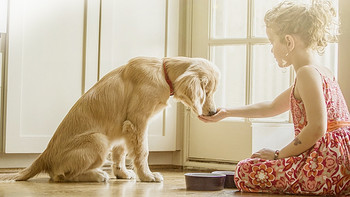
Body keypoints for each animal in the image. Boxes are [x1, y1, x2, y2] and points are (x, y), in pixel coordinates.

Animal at [0, 56, 219, 182]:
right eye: (207, 92)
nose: (213, 112)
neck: (162, 72)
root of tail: (45, 156)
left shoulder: (123, 127)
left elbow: (120, 153)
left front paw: (122, 174)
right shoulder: (138, 122)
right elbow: (142, 152)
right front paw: (147, 176)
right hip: (98, 139)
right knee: (61, 176)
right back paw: (97, 175)